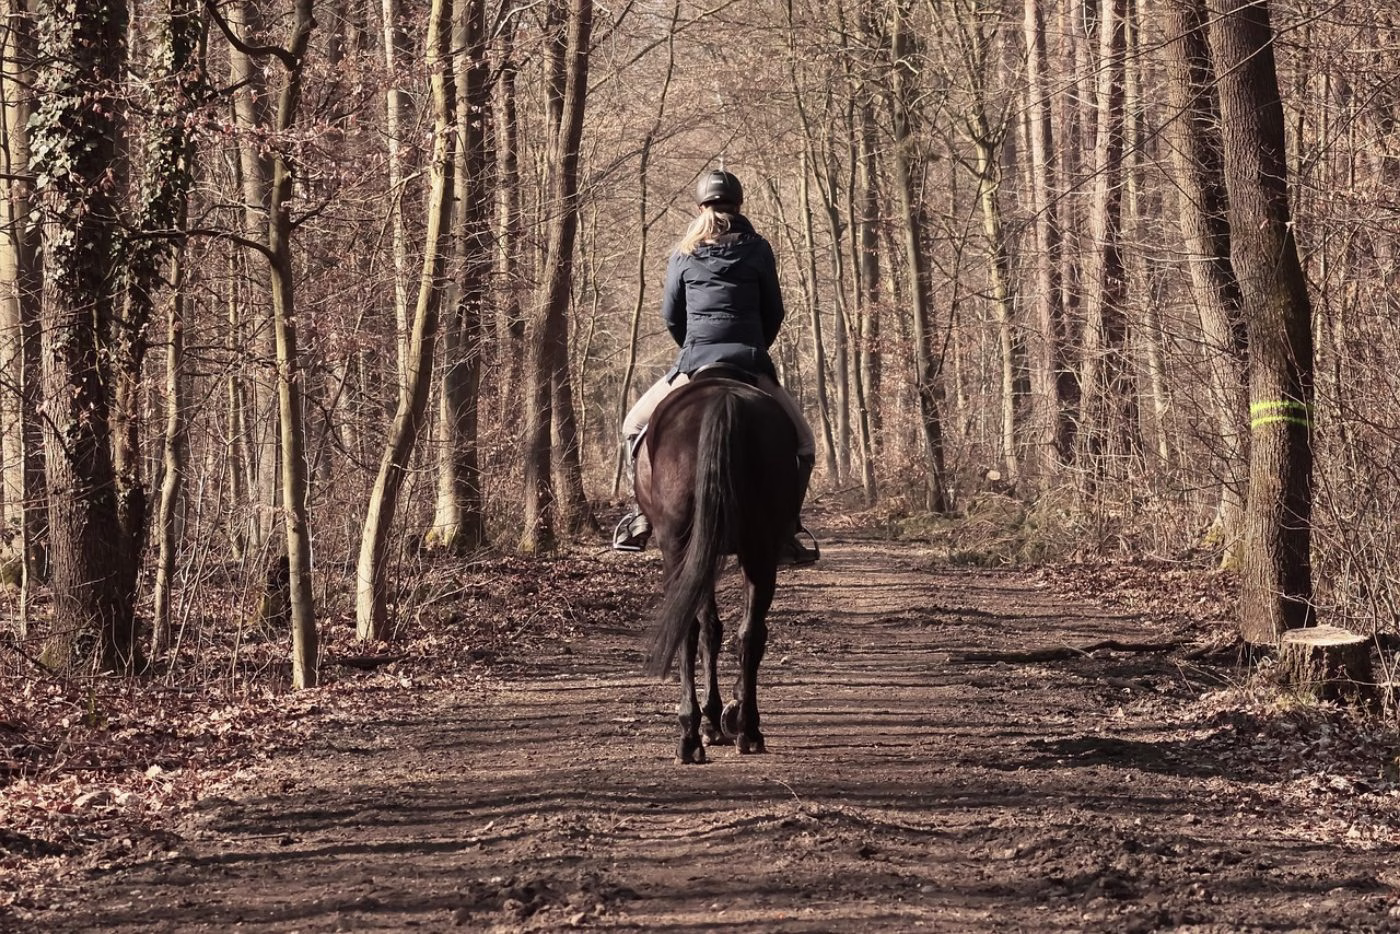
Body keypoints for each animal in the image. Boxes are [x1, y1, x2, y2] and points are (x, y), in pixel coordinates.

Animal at [636, 366, 802, 764]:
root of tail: (724, 399)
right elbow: (717, 629)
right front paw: (726, 714)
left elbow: (706, 629)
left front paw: (713, 719)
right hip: (758, 548)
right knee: (751, 632)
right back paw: (748, 731)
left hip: (682, 548)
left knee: (691, 628)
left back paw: (692, 736)